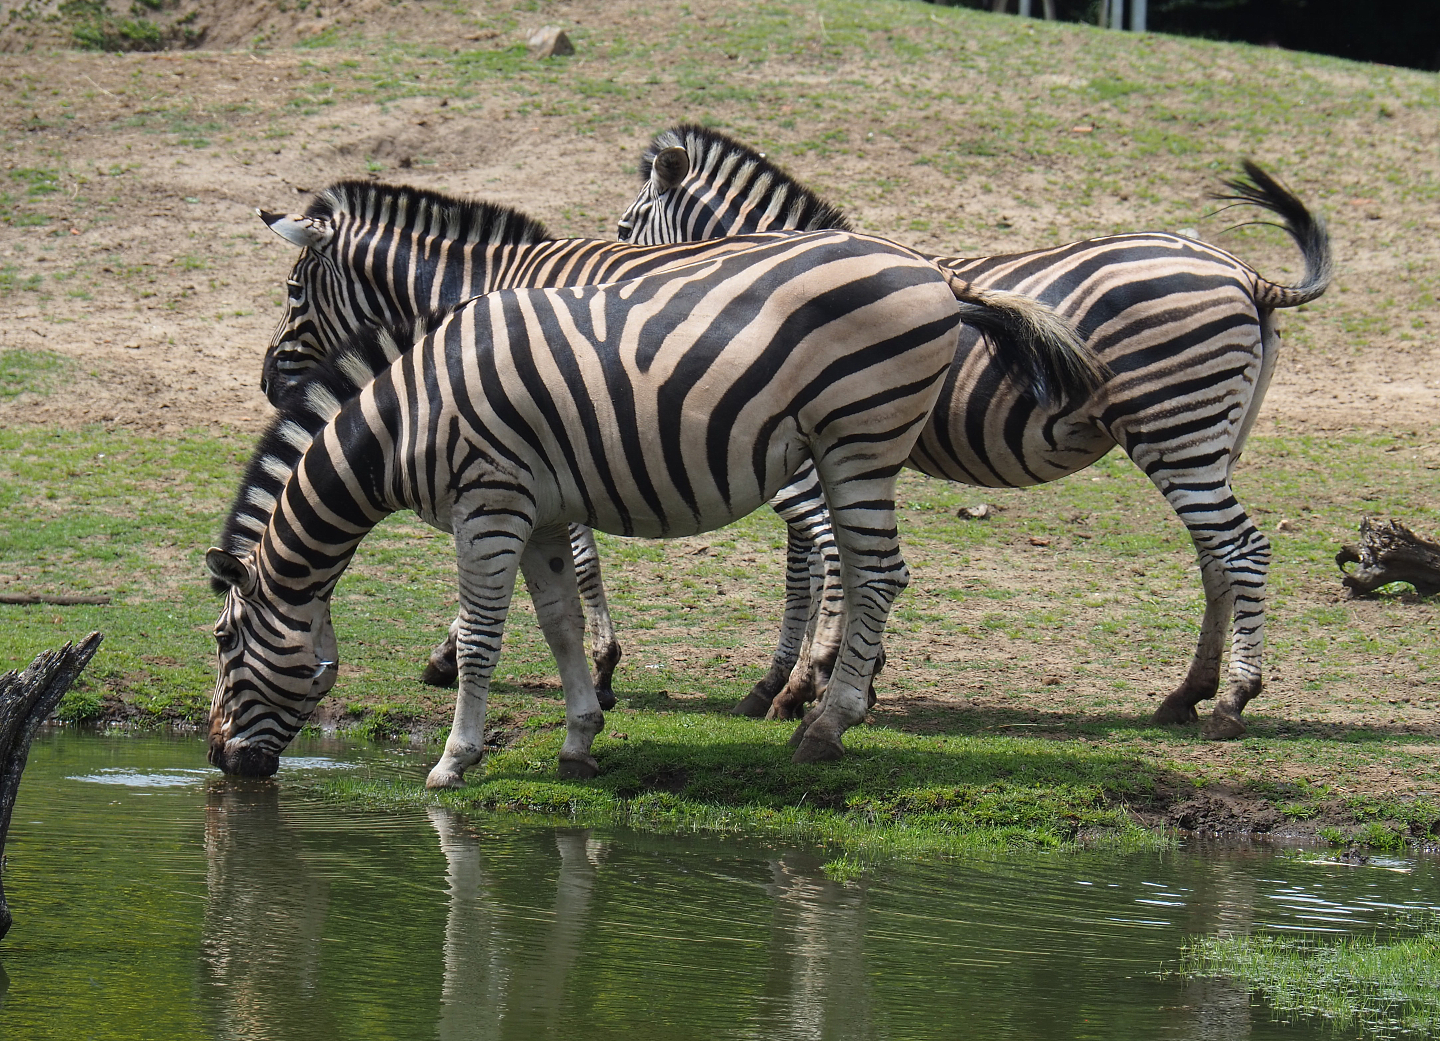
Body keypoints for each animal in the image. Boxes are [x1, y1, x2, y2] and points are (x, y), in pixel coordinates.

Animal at [207, 230, 983, 783]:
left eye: (223, 641)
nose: (217, 762)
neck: (406, 419)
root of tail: (928, 266)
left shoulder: (489, 506)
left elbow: (486, 635)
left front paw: (455, 758)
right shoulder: (541, 516)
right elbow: (561, 625)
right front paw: (580, 736)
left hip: (858, 438)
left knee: (877, 574)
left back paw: (824, 726)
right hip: (844, 447)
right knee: (862, 568)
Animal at [254, 180, 1094, 714]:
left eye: (292, 292)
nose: (269, 383)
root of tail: (938, 276)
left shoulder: (544, 428)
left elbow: (577, 558)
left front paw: (591, 662)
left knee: (835, 550)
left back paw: (809, 684)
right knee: (842, 552)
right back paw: (835, 678)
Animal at [618, 124, 1332, 740]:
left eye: (626, 228)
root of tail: (1242, 272)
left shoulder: (810, 447)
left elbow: (819, 559)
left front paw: (803, 684)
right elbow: (829, 559)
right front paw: (844, 678)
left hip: (1176, 429)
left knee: (1244, 550)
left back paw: (1233, 701)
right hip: (1213, 440)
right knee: (1216, 558)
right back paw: (1187, 694)